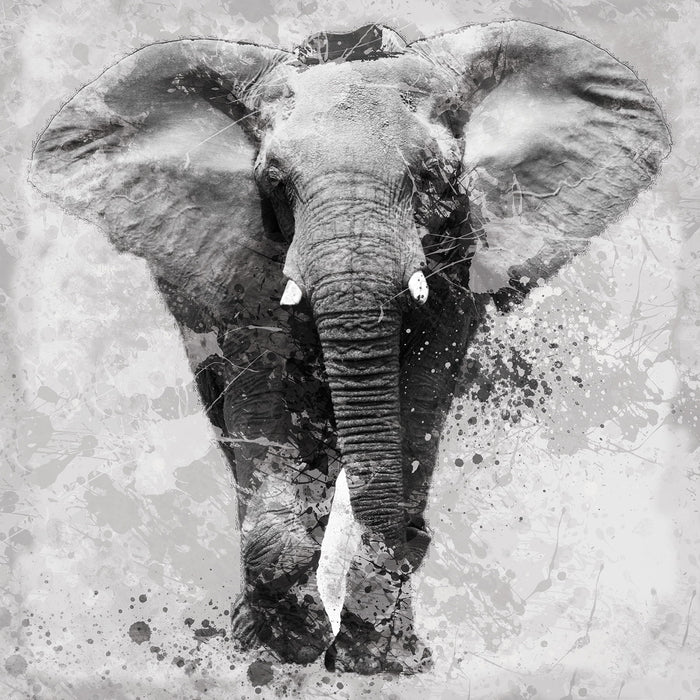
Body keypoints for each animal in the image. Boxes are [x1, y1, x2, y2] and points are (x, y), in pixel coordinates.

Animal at [29, 21, 670, 674]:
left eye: (434, 178)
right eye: (274, 181)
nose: (417, 538)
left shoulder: (460, 251)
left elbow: (420, 394)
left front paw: (377, 655)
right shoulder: (244, 254)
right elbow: (261, 392)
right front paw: (282, 641)